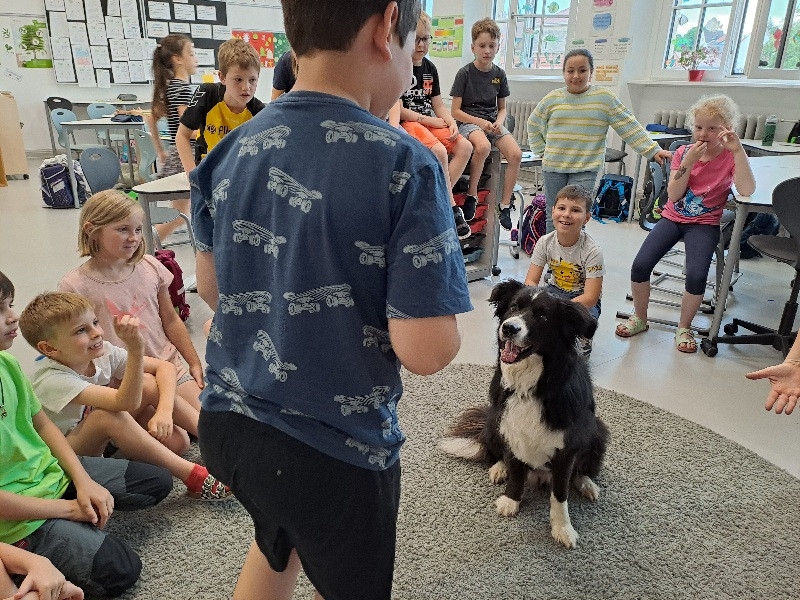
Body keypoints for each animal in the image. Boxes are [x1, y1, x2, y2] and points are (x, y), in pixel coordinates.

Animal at [439, 279, 609, 548]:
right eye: (514, 307)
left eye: (543, 315)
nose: (509, 328)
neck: (532, 385)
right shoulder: (511, 427)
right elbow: (517, 472)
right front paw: (511, 500)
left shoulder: (567, 447)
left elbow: (560, 492)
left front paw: (562, 528)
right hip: (493, 422)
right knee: (498, 453)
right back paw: (499, 468)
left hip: (598, 430)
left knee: (581, 469)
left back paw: (585, 483)